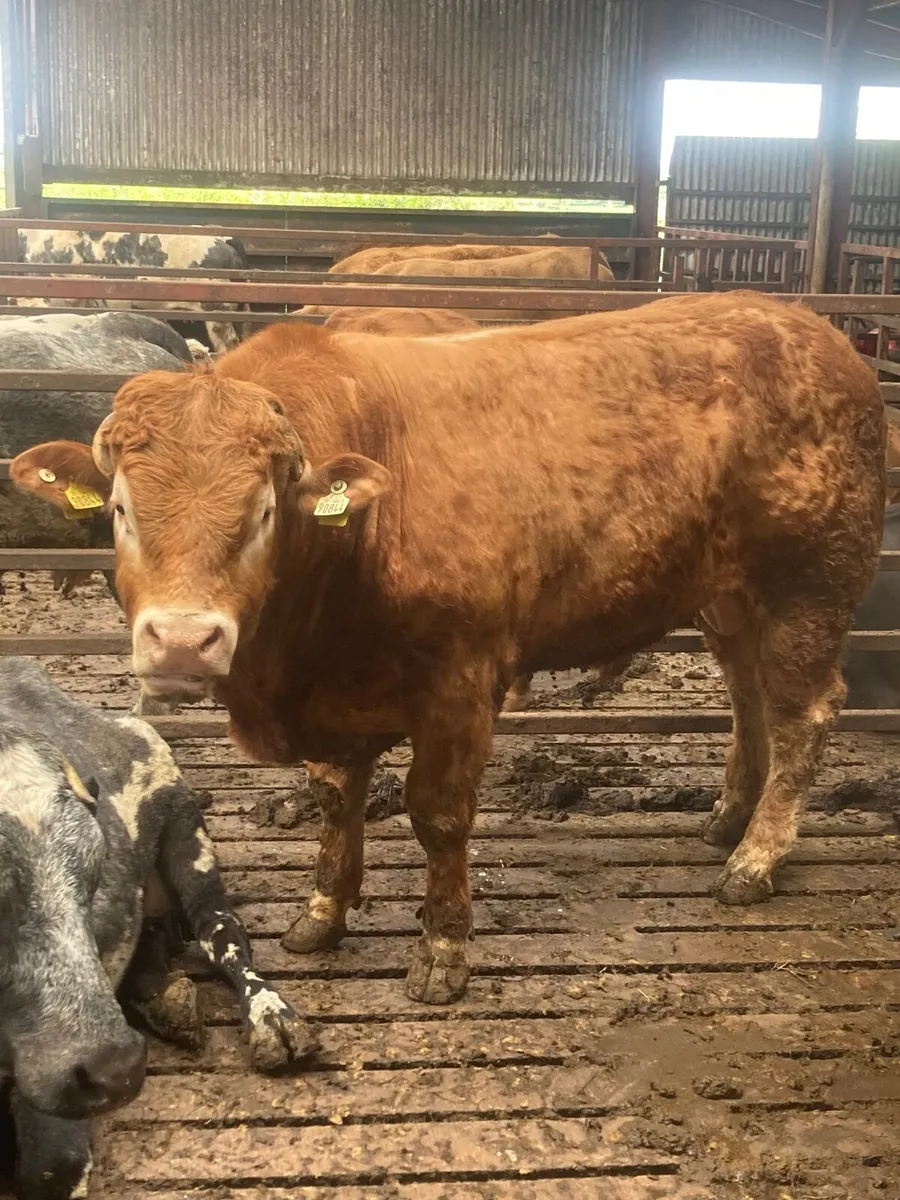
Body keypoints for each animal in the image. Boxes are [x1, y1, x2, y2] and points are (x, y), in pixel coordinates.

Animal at [0, 657, 311, 1200]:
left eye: (95, 868)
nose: (115, 1071)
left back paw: (271, 1017)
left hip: (188, 837)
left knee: (222, 933)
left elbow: (50, 1164)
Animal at [11, 292, 885, 1010]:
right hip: (728, 599)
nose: (184, 640)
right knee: (746, 697)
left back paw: (756, 858)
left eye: (263, 512)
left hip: (810, 586)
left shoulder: (461, 684)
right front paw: (321, 913)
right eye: (121, 510)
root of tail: (814, 330)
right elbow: (335, 798)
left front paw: (441, 950)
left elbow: (437, 817)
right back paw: (728, 817)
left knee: (804, 711)